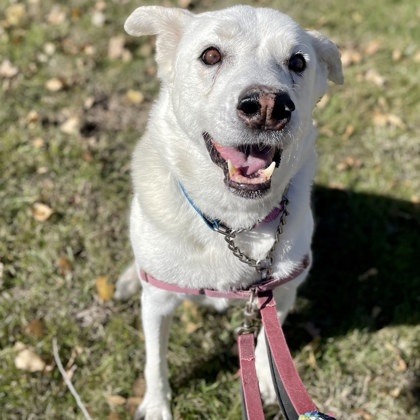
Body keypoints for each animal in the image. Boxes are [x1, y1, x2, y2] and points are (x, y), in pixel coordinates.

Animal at [116, 4, 342, 418]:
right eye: (210, 55)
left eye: (298, 61)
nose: (269, 107)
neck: (235, 223)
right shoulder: (157, 302)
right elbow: (155, 361)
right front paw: (157, 404)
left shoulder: (279, 292)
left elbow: (268, 343)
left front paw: (267, 381)